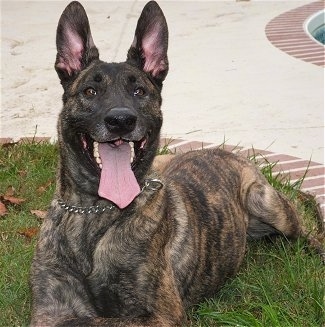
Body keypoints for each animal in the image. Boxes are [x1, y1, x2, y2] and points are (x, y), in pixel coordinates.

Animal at [29, 1, 322, 326]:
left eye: (139, 91)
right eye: (90, 92)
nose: (121, 121)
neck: (94, 212)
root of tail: (222, 151)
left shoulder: (161, 314)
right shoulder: (49, 309)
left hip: (264, 200)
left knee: (307, 228)